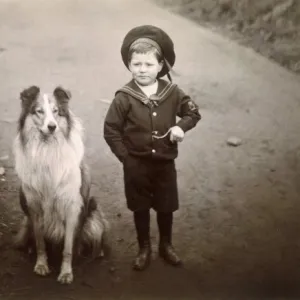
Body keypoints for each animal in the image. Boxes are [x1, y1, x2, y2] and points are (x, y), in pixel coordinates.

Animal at [13, 86, 110, 284]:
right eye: (39, 111)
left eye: (56, 111)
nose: (52, 127)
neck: (47, 149)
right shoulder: (34, 206)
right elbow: (40, 241)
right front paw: (41, 265)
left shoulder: (71, 207)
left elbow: (68, 247)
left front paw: (66, 272)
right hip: (27, 219)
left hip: (93, 214)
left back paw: (98, 252)